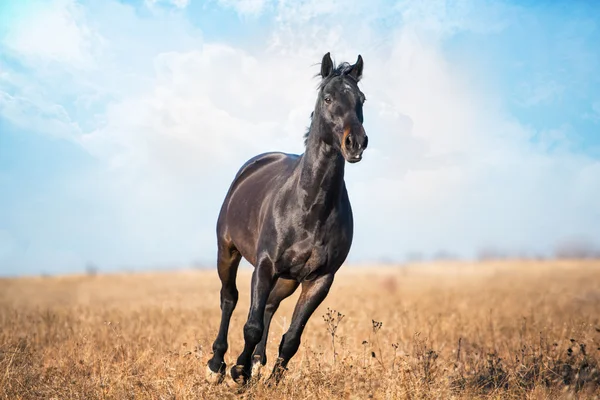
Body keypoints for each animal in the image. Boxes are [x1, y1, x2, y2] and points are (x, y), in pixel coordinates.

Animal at [205, 52, 366, 384]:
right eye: (328, 98)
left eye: (362, 99)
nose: (355, 143)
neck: (310, 207)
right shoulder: (265, 266)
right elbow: (251, 325)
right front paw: (238, 372)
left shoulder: (320, 280)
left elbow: (291, 337)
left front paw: (266, 378)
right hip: (227, 251)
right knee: (229, 298)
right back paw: (217, 364)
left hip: (289, 279)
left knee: (268, 306)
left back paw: (257, 362)